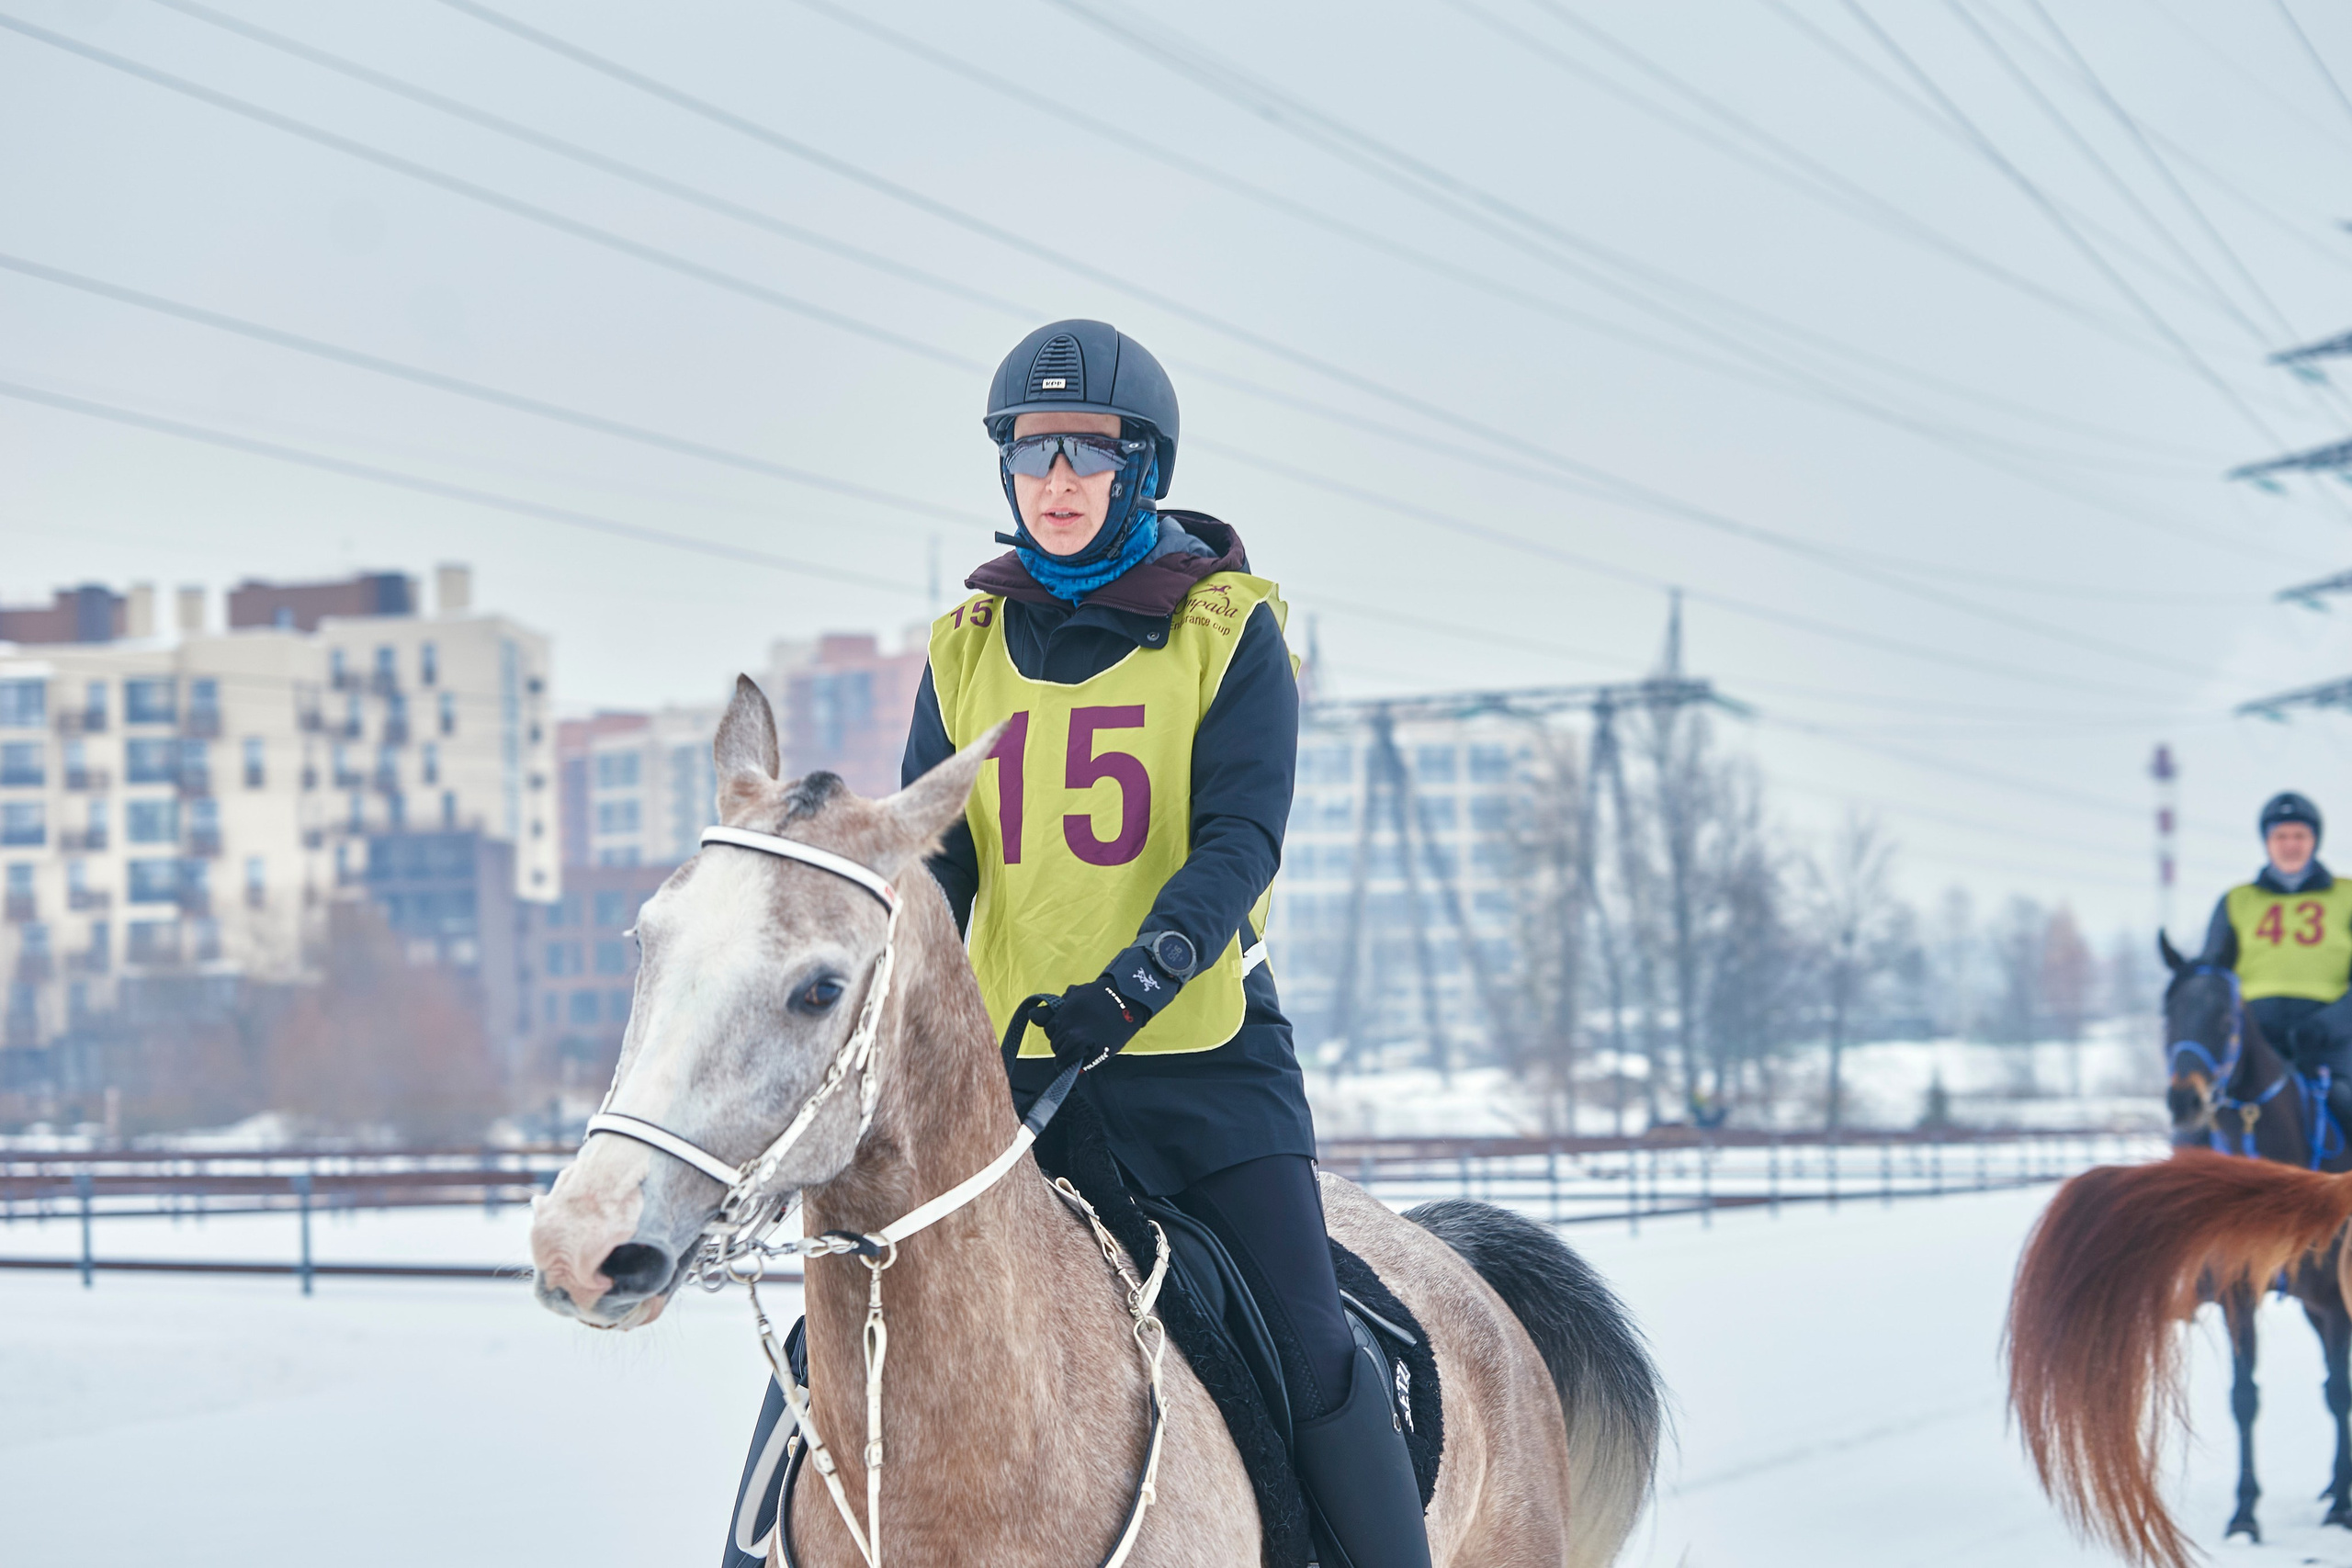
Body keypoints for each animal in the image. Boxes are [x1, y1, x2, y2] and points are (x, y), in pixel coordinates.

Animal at [2004, 934, 2352, 1568]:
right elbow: (2245, 1398)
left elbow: (2339, 1393)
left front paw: (2341, 1506)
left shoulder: (2334, 1300)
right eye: (2167, 1015)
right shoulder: (2239, 1297)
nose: (2185, 1101)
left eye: (2225, 1017)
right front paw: (2245, 1516)